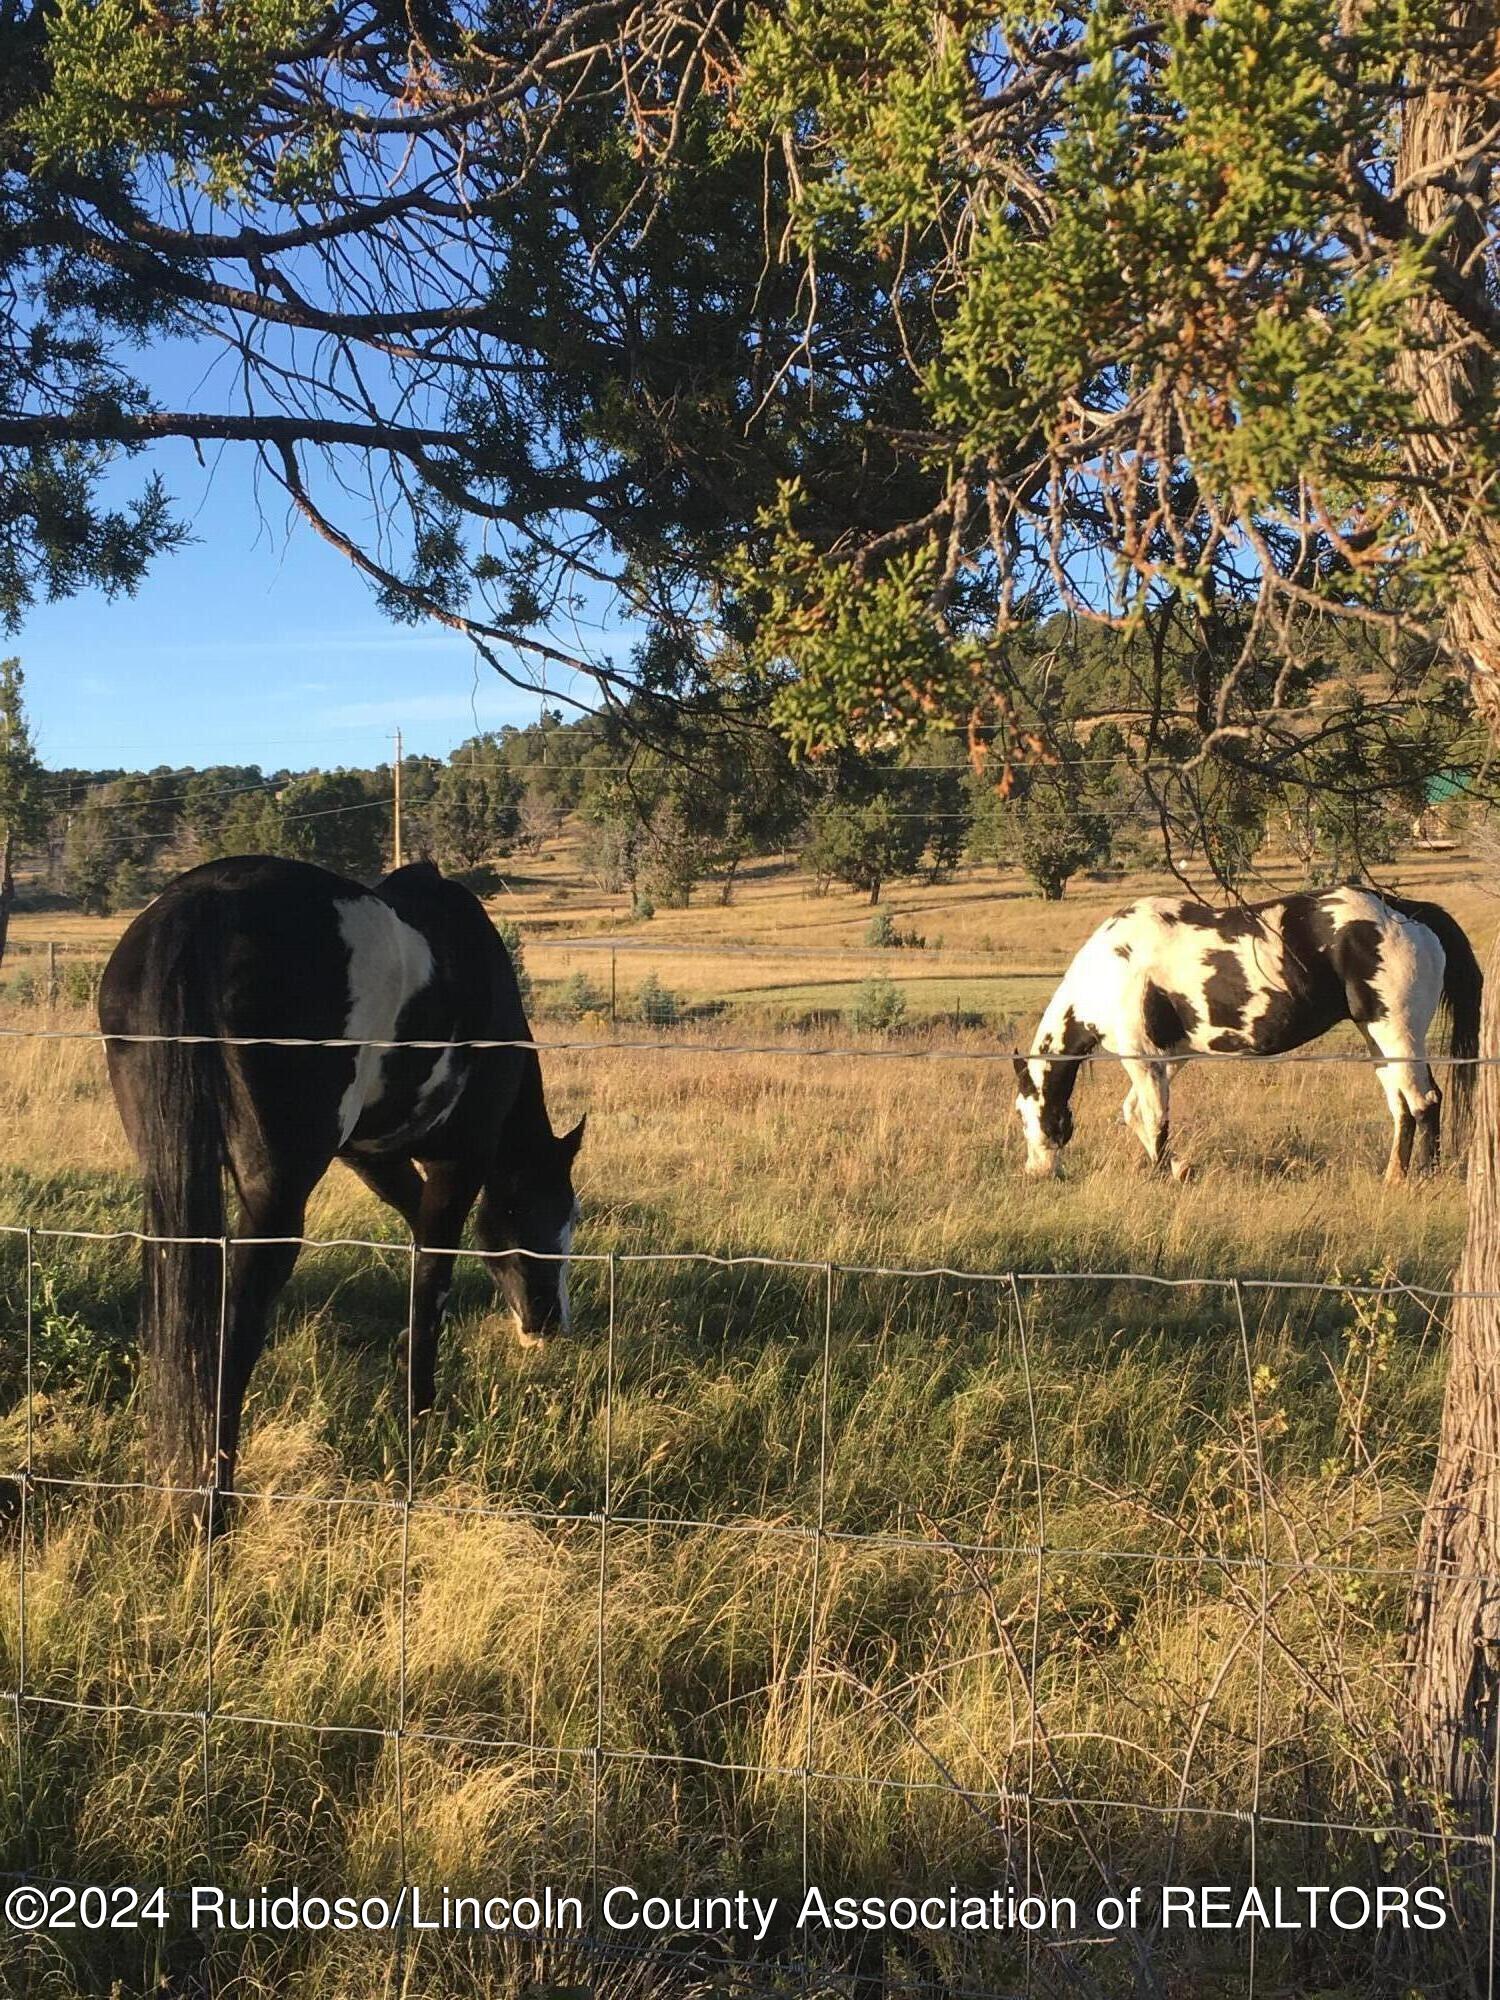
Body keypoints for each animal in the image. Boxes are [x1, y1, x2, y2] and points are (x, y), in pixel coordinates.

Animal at [101, 856, 588, 1504]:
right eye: (559, 1213)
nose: (548, 1323)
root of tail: (207, 900)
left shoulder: (370, 1155)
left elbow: (417, 1235)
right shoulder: (459, 1161)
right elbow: (433, 1274)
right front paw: (420, 1416)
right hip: (277, 1191)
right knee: (236, 1327)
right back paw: (215, 1504)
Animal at [1016, 884, 1488, 1176]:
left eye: (1025, 1114)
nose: (1036, 1171)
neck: (1113, 966)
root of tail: (1404, 911)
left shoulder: (1143, 1056)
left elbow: (1153, 1118)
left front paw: (1166, 1175)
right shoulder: (1171, 1058)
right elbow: (1137, 1113)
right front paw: (1178, 1169)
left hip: (1397, 1032)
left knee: (1425, 1101)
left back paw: (1423, 1177)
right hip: (1377, 1039)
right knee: (1401, 1106)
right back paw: (1393, 1177)